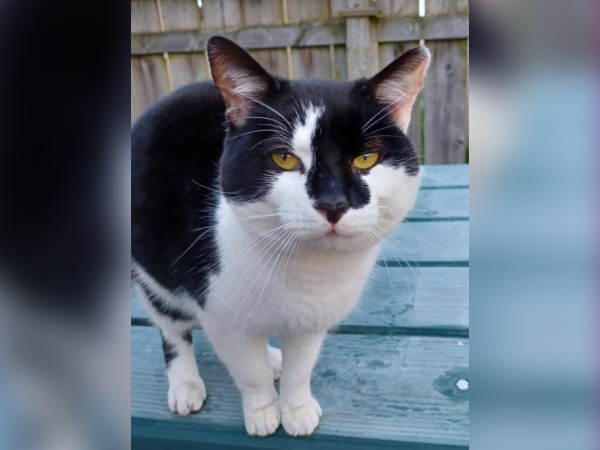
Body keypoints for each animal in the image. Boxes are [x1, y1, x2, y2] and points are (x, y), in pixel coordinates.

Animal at [132, 37, 432, 438]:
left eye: (366, 158)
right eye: (284, 159)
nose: (333, 203)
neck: (308, 272)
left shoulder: (311, 321)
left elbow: (300, 368)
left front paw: (296, 409)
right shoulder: (220, 316)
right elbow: (249, 371)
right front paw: (262, 413)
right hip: (151, 275)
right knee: (171, 327)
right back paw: (185, 384)